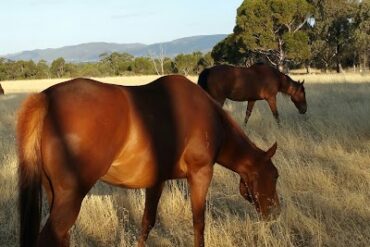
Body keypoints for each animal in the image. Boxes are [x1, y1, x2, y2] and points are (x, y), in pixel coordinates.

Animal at [17, 75, 280, 247]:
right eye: (275, 176)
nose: (275, 213)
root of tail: (46, 98)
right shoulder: (200, 174)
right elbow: (199, 223)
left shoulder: (157, 181)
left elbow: (147, 222)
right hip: (70, 197)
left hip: (55, 194)